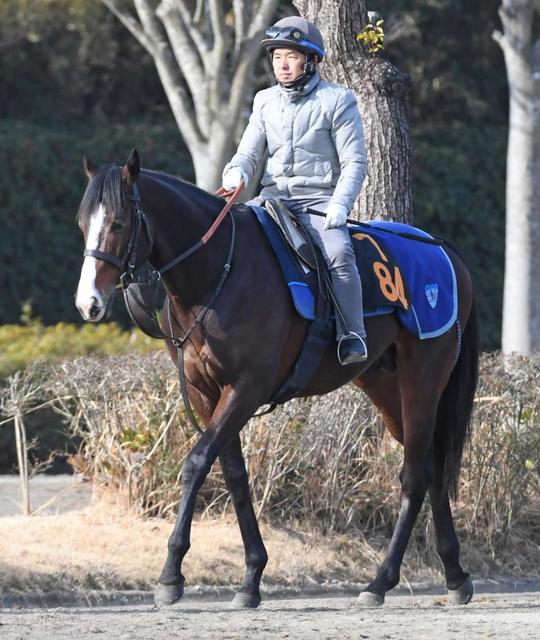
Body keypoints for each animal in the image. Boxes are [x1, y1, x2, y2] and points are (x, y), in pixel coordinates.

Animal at [75, 150, 476, 608]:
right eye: (83, 223)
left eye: (118, 222)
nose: (88, 302)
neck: (219, 271)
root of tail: (445, 252)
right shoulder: (204, 392)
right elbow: (233, 474)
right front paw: (251, 576)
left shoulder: (246, 388)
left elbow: (197, 462)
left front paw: (171, 573)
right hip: (387, 389)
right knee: (430, 466)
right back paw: (455, 574)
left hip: (422, 380)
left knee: (413, 476)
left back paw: (381, 581)